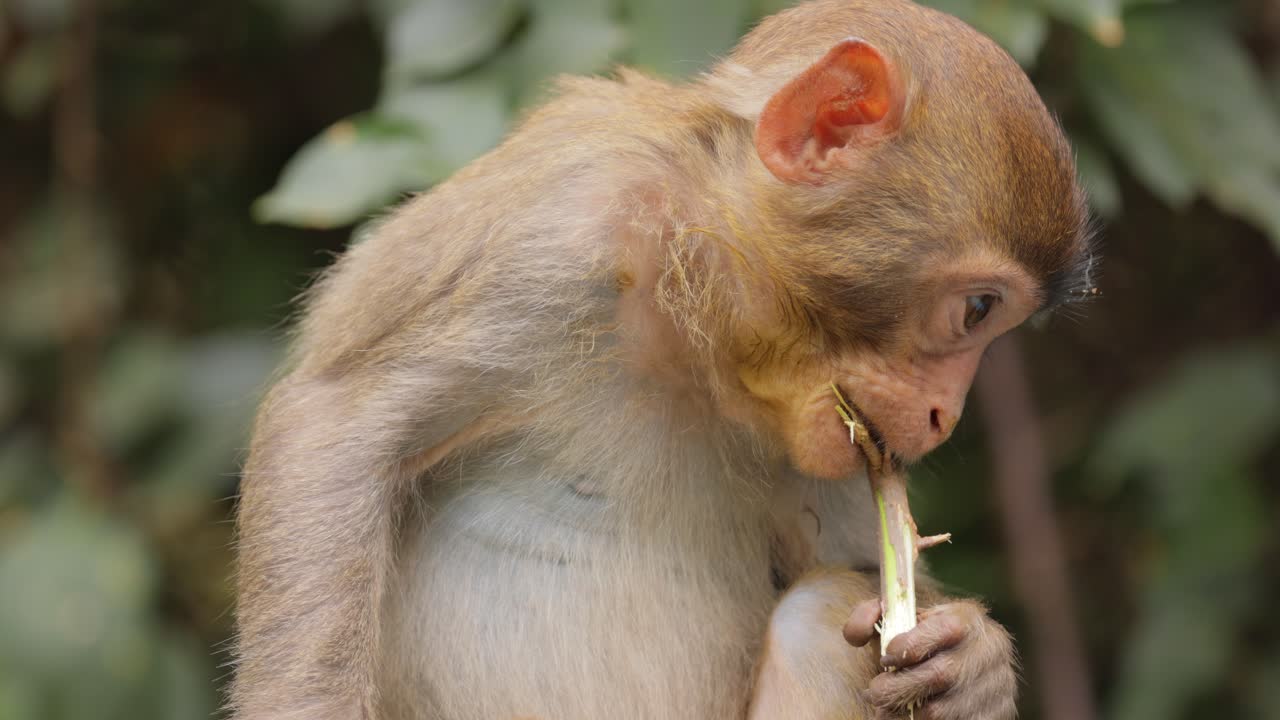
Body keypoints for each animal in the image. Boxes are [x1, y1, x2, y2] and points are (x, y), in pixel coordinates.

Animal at [231, 1, 1094, 718]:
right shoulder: (555, 233)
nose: (946, 416)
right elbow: (334, 426)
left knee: (819, 612)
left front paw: (974, 662)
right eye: (977, 310)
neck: (696, 318)